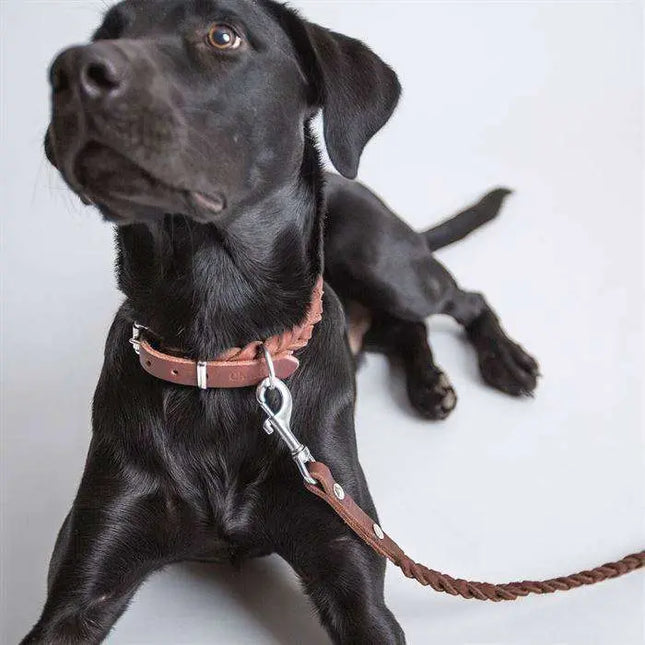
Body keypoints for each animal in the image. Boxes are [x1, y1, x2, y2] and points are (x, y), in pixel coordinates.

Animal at [24, 1, 539, 642]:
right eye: (107, 32)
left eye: (224, 35)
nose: (71, 69)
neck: (220, 355)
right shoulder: (83, 583)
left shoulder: (350, 566)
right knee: (403, 330)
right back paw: (429, 387)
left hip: (385, 261)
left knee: (463, 300)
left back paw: (505, 364)